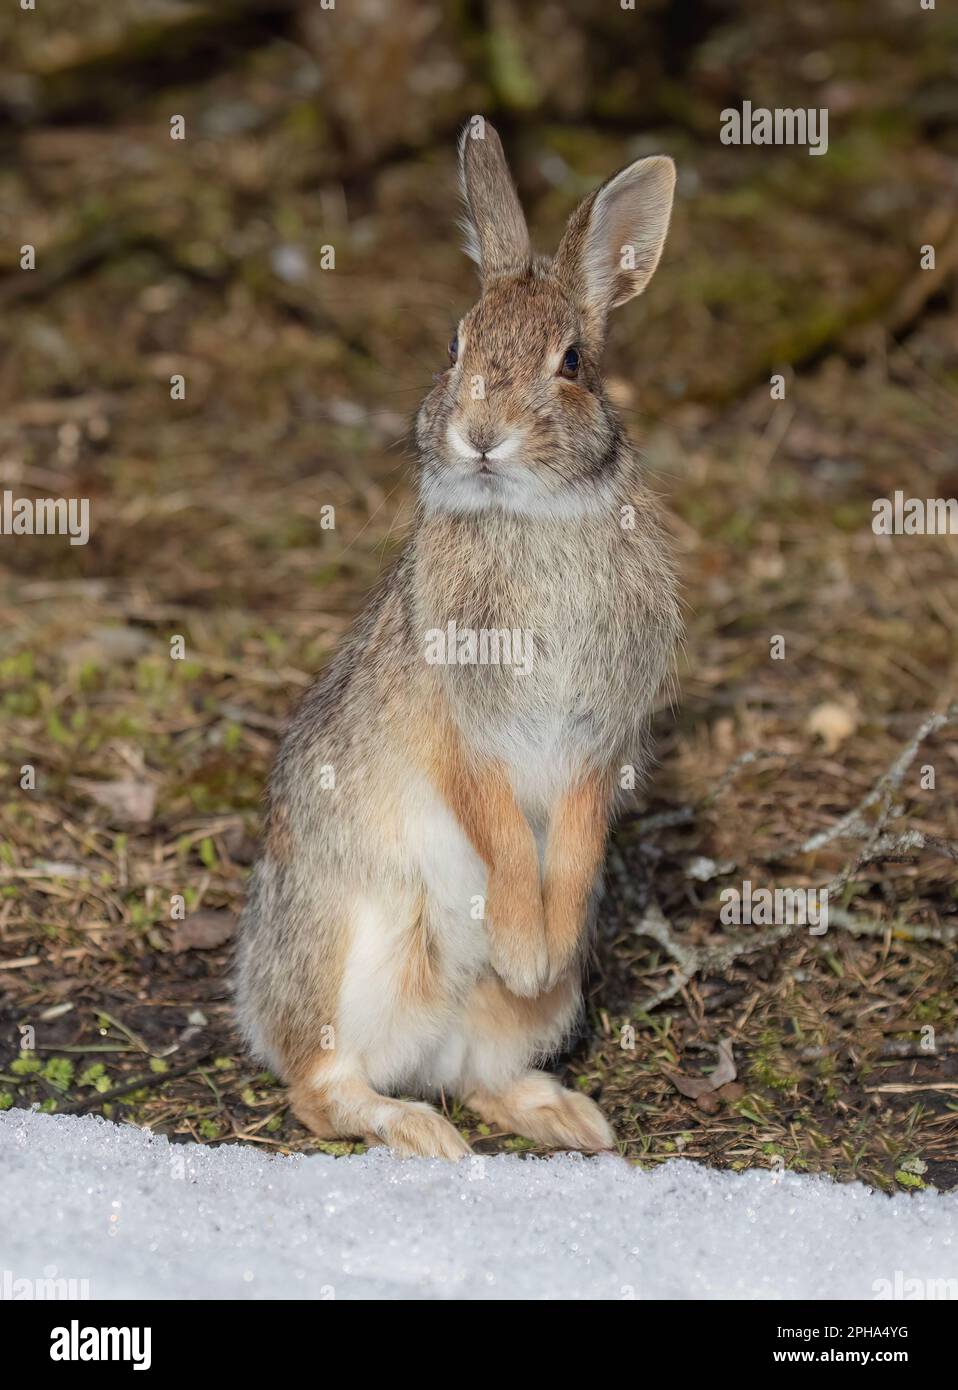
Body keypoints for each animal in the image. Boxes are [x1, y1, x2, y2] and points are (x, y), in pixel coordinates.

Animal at [233, 116, 681, 1162]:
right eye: (453, 343)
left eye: (572, 362)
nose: (481, 433)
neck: (532, 518)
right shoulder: (460, 728)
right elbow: (500, 832)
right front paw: (521, 943)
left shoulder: (600, 736)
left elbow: (577, 833)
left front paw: (540, 949)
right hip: (352, 949)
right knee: (320, 1087)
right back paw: (416, 1130)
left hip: (520, 1018)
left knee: (481, 1072)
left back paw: (568, 1116)